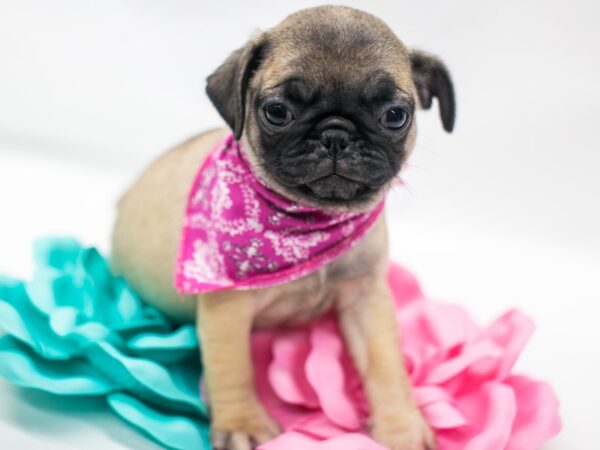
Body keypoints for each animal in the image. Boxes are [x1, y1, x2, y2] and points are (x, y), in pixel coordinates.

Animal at [110, 5, 454, 448]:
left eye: (395, 116)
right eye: (277, 112)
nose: (336, 134)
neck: (309, 220)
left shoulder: (367, 300)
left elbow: (385, 365)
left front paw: (401, 427)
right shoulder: (227, 310)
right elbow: (233, 369)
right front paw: (244, 423)